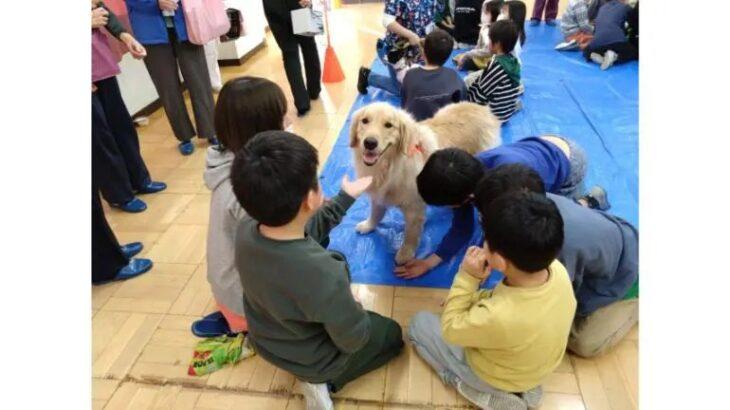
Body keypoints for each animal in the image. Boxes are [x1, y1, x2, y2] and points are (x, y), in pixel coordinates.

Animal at [348, 101, 500, 264]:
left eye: (388, 125)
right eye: (364, 121)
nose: (369, 143)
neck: (390, 167)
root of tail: (483, 108)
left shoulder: (413, 210)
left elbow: (410, 235)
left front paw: (405, 254)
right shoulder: (378, 197)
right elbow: (375, 214)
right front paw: (368, 225)